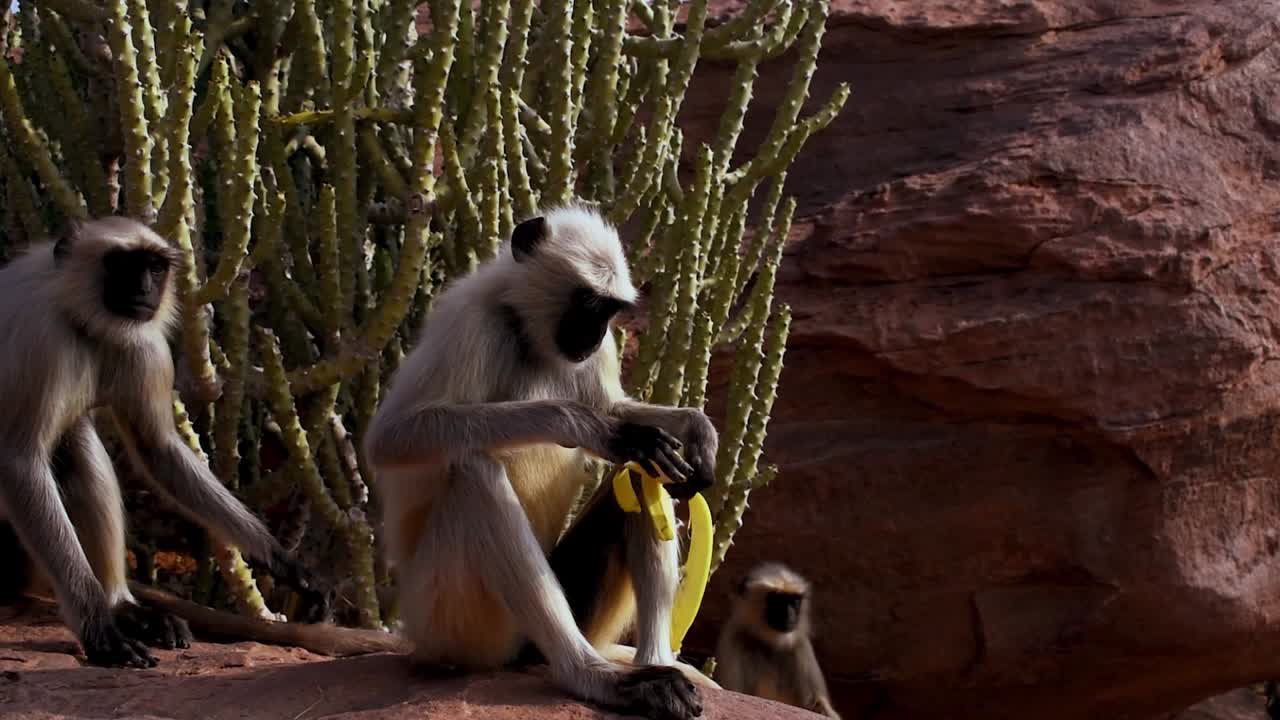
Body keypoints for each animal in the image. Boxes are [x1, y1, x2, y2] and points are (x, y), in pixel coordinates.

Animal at [0, 216, 331, 669]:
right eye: (124, 265)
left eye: (154, 268)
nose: (144, 290)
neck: (76, 316)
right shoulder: (41, 339)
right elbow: (20, 461)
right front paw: (97, 629)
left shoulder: (145, 344)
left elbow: (157, 448)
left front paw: (284, 563)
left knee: (77, 444)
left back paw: (124, 607)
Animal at [362, 203, 721, 720]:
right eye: (588, 304)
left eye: (608, 311)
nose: (594, 334)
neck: (527, 337)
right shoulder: (469, 322)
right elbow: (390, 439)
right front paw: (586, 426)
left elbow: (625, 419)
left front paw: (694, 427)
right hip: (451, 623)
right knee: (475, 471)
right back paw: (590, 676)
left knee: (637, 475)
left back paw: (654, 666)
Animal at [715, 562, 841, 719]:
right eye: (777, 600)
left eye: (794, 601)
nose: (789, 615)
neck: (769, 645)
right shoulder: (734, 642)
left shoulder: (800, 646)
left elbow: (819, 704)